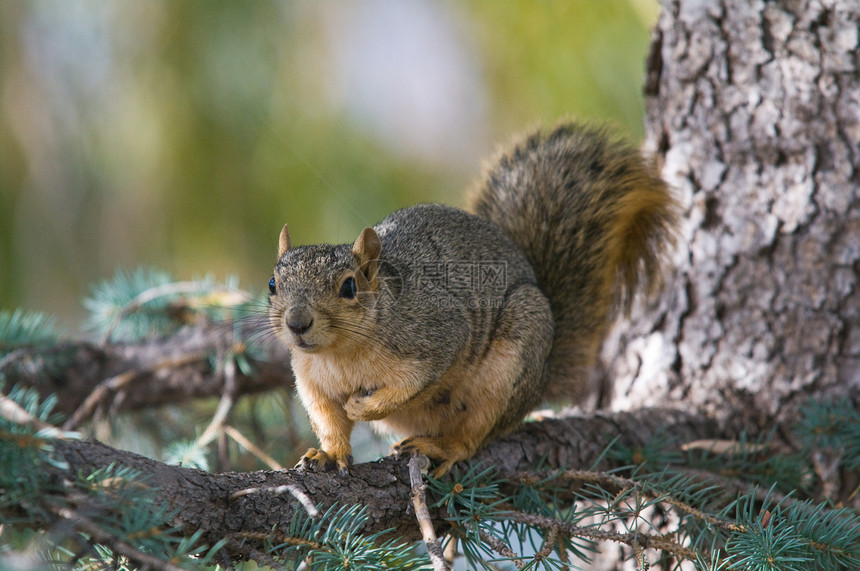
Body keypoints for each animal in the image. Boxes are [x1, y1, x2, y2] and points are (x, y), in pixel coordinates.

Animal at [268, 122, 680, 478]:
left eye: (349, 287)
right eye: (273, 283)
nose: (297, 323)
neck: (339, 355)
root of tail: (542, 375)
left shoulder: (437, 333)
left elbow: (409, 386)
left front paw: (362, 406)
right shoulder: (312, 383)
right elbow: (329, 422)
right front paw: (328, 454)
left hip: (510, 367)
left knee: (475, 434)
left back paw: (443, 447)